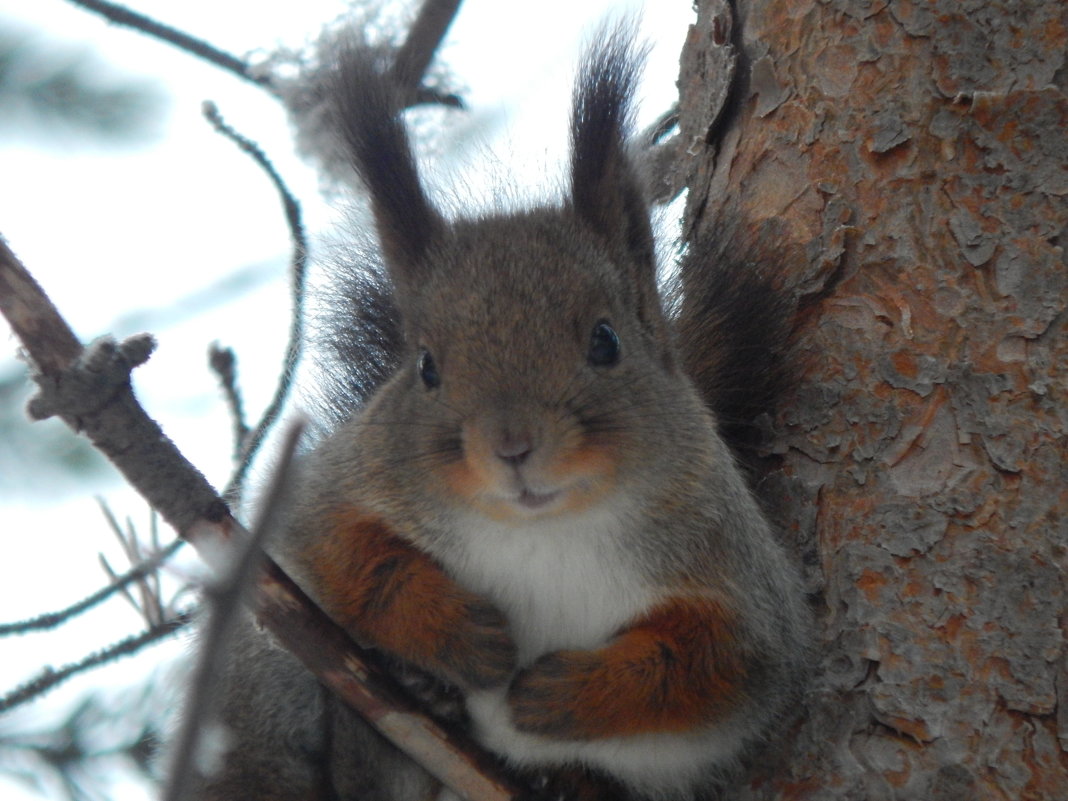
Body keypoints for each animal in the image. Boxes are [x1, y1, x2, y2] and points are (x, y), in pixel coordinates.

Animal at [194, 21, 807, 801]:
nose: (513, 446)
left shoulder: (738, 579)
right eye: (425, 366)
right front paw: (460, 633)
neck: (540, 528)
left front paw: (563, 694)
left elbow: (711, 667)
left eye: (606, 341)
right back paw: (414, 691)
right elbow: (343, 552)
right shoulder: (335, 485)